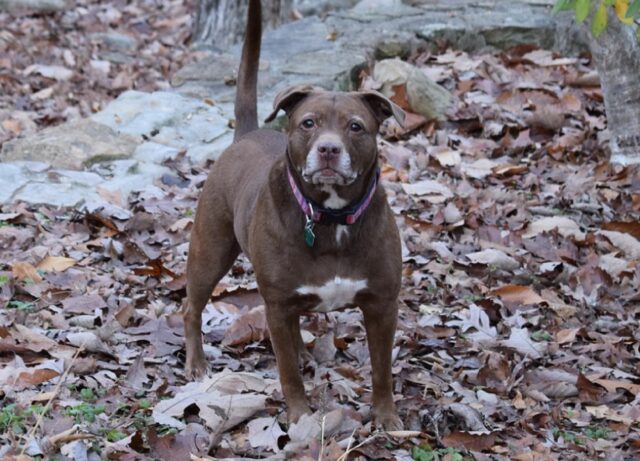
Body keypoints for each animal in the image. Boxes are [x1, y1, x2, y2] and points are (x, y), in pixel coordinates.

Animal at [185, 0, 404, 430]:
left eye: (356, 126)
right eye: (308, 123)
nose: (329, 149)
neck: (331, 218)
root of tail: (246, 134)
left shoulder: (382, 304)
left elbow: (382, 370)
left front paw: (386, 416)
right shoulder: (276, 304)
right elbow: (286, 373)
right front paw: (301, 416)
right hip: (210, 251)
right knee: (191, 307)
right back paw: (197, 364)